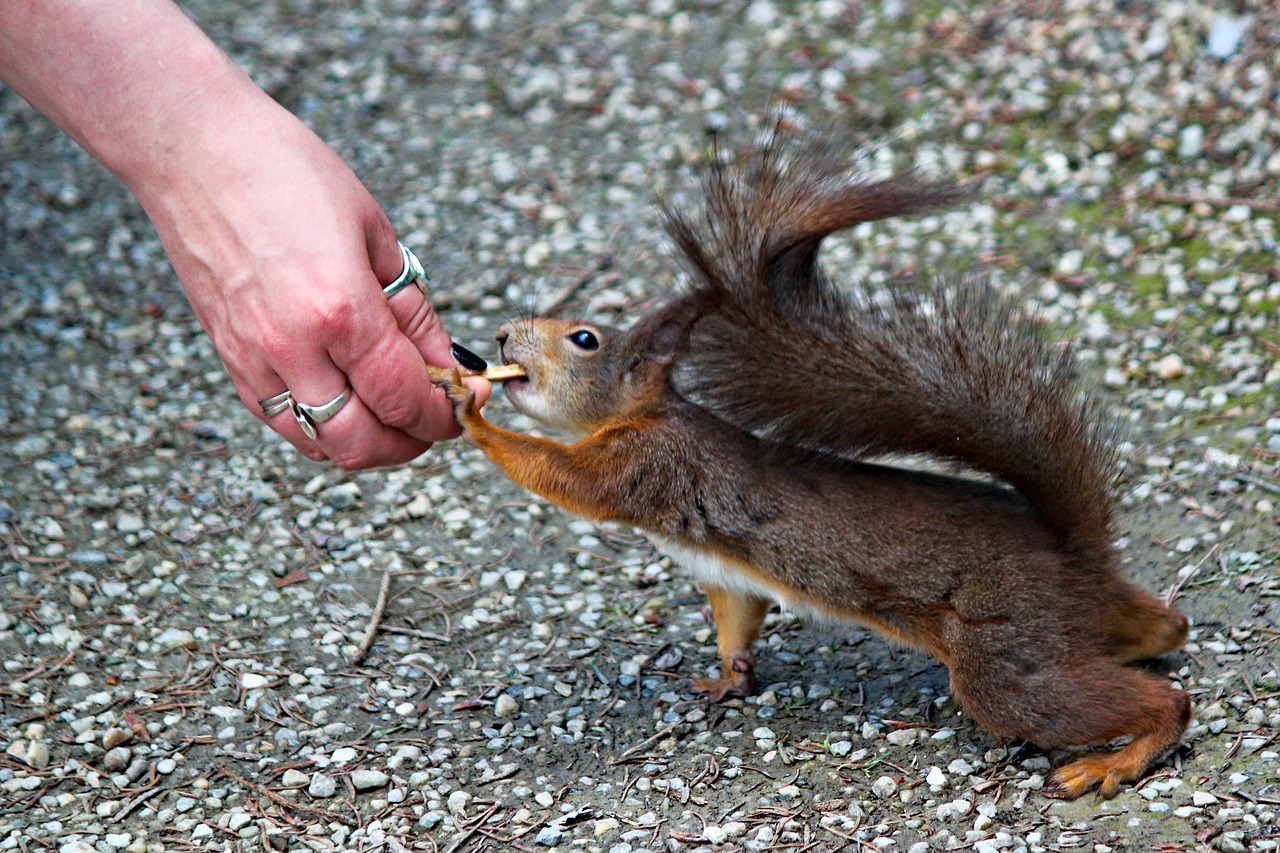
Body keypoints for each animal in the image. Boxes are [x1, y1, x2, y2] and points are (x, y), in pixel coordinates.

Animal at [430, 133, 1187, 799]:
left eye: (584, 339)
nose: (501, 335)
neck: (640, 415)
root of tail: (1068, 553)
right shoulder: (723, 572)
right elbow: (738, 619)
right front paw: (729, 678)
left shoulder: (647, 464)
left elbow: (564, 477)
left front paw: (470, 410)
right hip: (1065, 626)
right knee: (1157, 631)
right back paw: (1155, 638)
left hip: (1005, 655)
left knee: (1148, 700)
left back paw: (1117, 759)